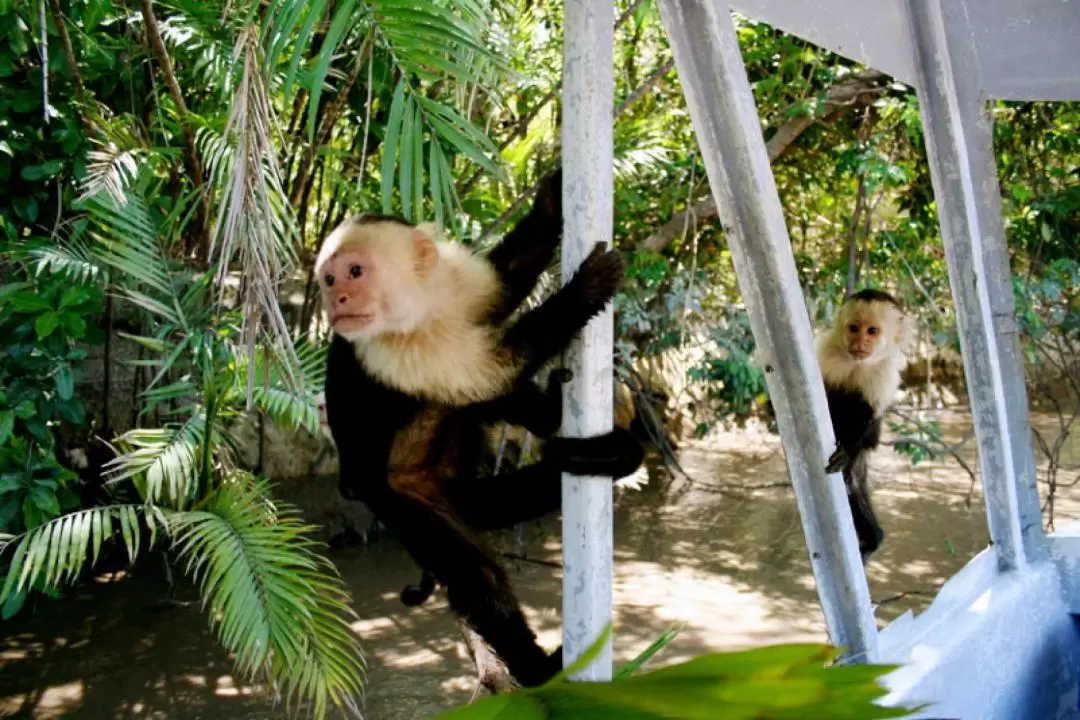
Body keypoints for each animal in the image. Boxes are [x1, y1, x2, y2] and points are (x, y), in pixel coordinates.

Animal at [816, 287, 911, 561]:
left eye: (872, 331)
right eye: (854, 328)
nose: (860, 342)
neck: (856, 363)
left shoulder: (885, 372)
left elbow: (869, 415)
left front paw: (846, 450)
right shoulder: (825, 349)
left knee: (852, 482)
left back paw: (874, 540)